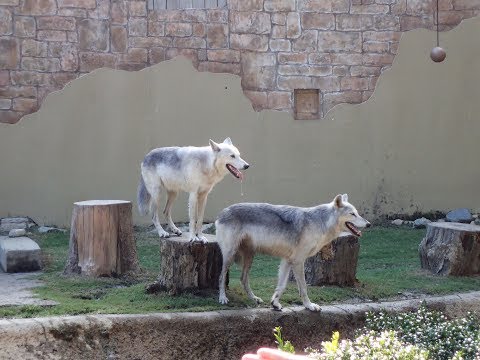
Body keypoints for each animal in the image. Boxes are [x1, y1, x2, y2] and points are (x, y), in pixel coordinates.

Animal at [216, 195, 370, 310]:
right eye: (352, 214)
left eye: (357, 213)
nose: (368, 224)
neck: (320, 223)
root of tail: (222, 212)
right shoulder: (298, 261)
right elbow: (303, 288)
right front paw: (309, 306)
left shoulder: (287, 261)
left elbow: (281, 286)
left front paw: (275, 304)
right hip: (230, 256)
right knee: (221, 276)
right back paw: (222, 298)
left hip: (249, 257)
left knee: (243, 279)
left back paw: (254, 298)